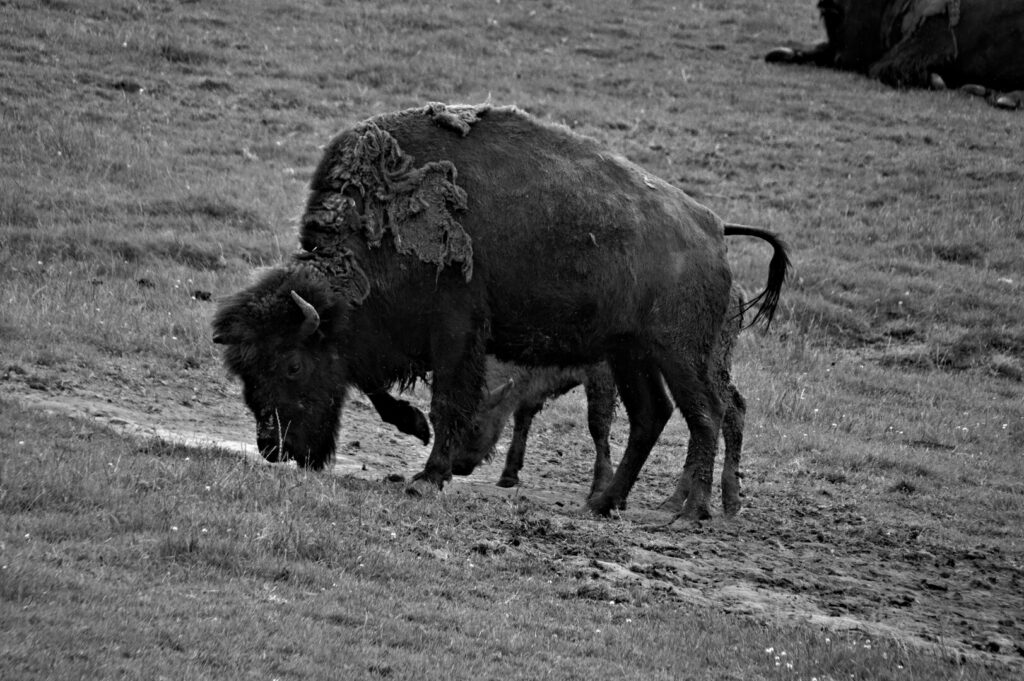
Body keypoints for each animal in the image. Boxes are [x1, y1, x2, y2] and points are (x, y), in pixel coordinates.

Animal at [450, 228, 790, 516]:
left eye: (476, 424)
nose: (460, 464)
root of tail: (736, 291)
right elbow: (525, 414)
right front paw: (509, 475)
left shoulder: (600, 374)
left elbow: (598, 424)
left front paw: (600, 487)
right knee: (729, 410)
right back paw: (716, 500)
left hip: (701, 364)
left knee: (721, 413)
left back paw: (695, 500)